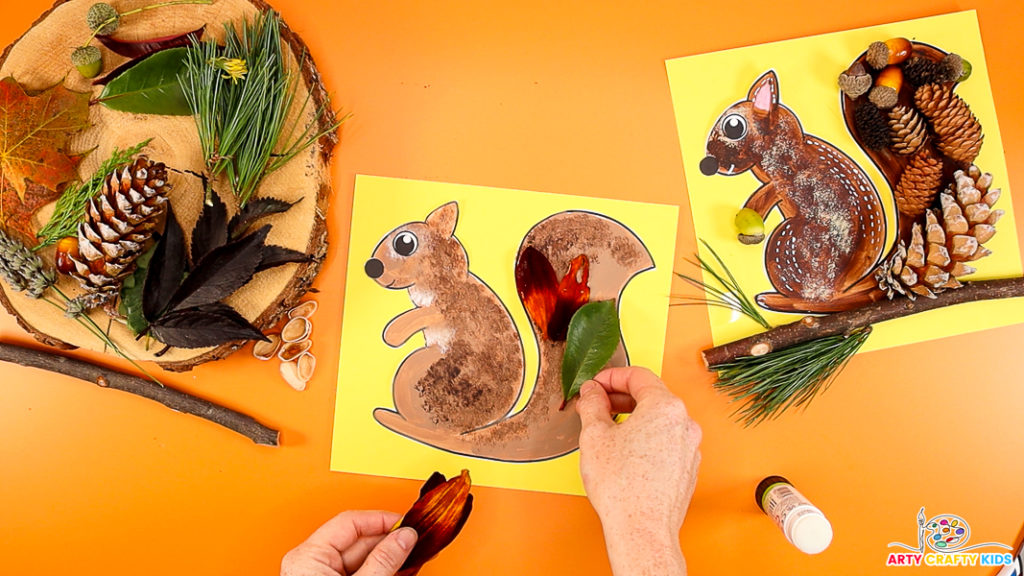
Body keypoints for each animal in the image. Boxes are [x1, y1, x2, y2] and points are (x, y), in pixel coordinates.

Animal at [364, 201, 651, 461]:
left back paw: (389, 418)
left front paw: (392, 334)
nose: (371, 267)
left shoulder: (449, 308)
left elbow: (420, 316)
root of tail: (459, 436)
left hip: (414, 370)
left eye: (404, 243)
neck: (444, 278)